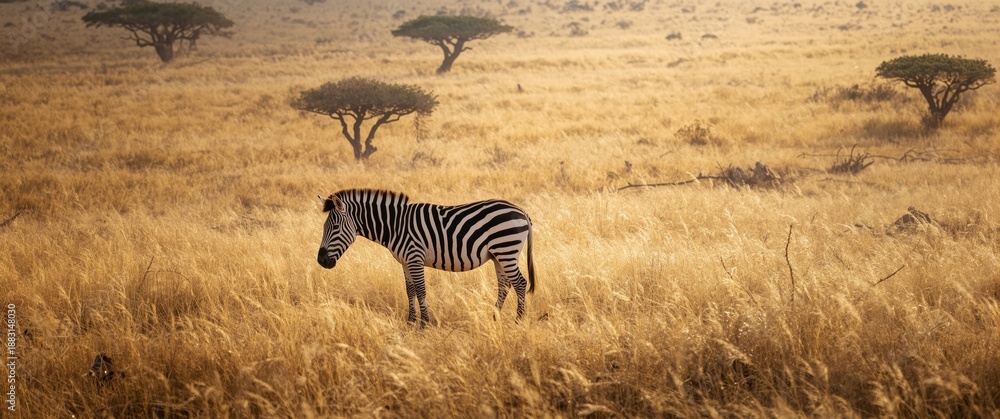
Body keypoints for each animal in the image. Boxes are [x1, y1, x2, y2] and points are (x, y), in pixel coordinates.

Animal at [317, 189, 535, 326]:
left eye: (334, 227)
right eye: (324, 226)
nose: (321, 261)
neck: (395, 226)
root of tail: (521, 210)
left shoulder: (415, 257)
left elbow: (421, 290)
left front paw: (424, 324)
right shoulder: (405, 262)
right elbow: (410, 290)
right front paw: (411, 321)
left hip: (506, 249)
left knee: (520, 283)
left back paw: (518, 321)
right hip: (498, 255)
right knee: (505, 285)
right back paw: (494, 318)